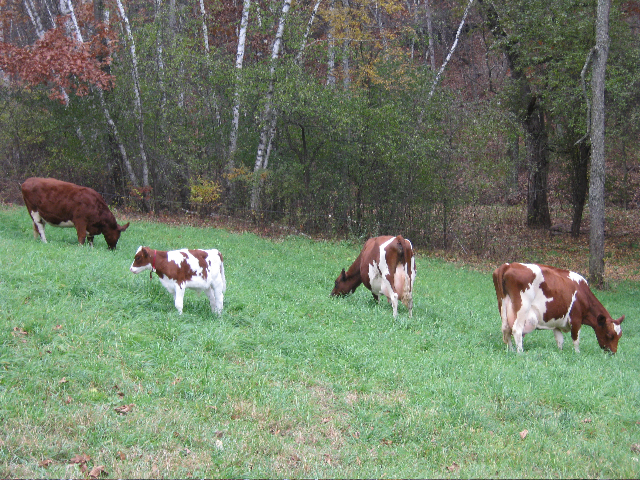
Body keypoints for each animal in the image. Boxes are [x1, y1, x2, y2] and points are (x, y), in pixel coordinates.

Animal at [492, 262, 624, 352]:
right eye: (609, 334)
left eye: (620, 336)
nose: (613, 352)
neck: (583, 294)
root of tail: (508, 265)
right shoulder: (576, 319)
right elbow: (576, 340)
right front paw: (577, 354)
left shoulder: (556, 323)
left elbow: (560, 340)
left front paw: (560, 352)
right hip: (522, 308)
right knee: (516, 330)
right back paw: (520, 353)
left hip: (503, 306)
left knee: (506, 329)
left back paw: (511, 350)